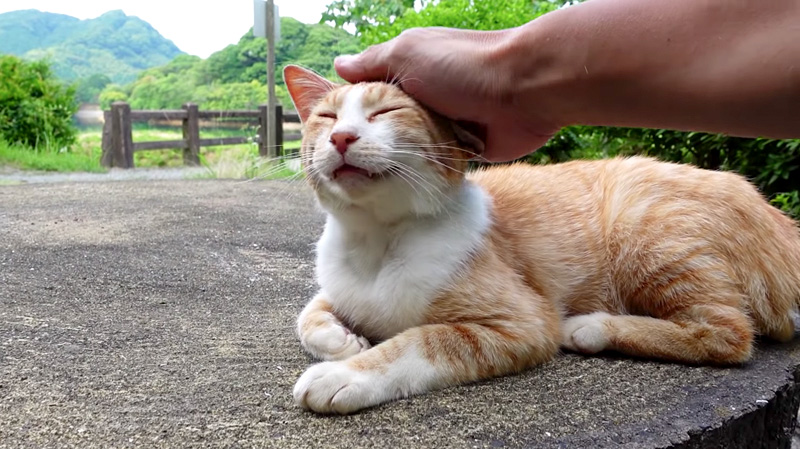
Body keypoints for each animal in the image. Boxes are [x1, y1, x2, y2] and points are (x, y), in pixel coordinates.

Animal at [284, 64, 800, 412]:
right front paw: (343, 341)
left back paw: (591, 327)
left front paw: (344, 373)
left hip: (648, 232)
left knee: (728, 333)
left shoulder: (522, 324)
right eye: (327, 117)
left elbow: (421, 342)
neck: (374, 239)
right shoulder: (336, 288)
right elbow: (308, 314)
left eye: (387, 111)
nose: (343, 137)